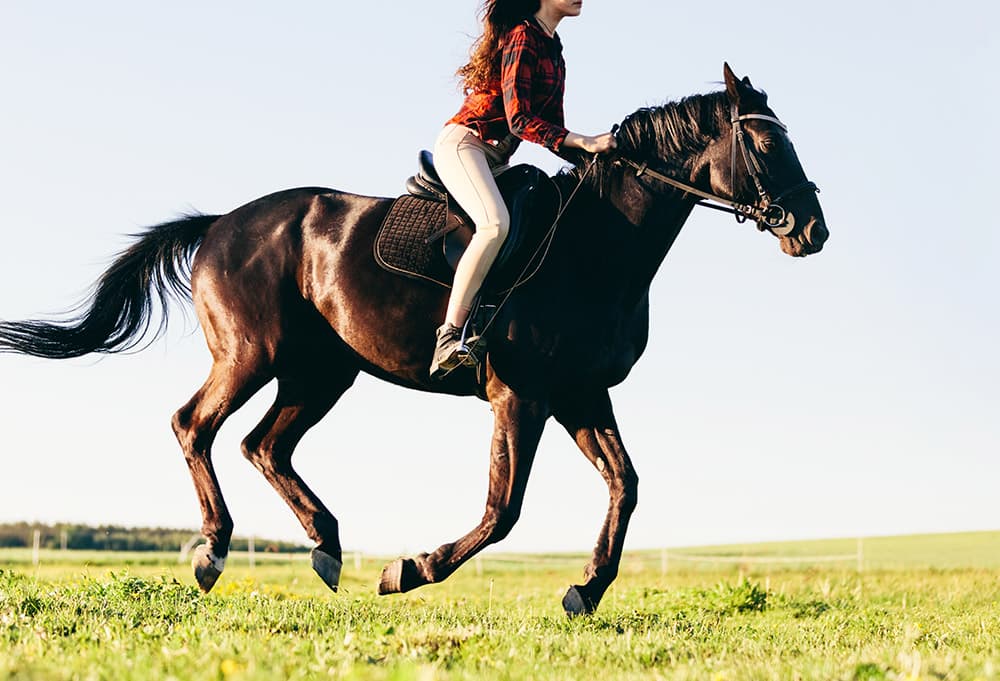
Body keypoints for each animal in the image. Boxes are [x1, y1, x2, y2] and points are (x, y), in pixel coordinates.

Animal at [0, 65, 828, 616]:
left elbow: (624, 486)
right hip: (249, 354)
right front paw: (410, 568)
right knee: (194, 425)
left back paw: (326, 546)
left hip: (321, 372)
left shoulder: (579, 392)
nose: (813, 230)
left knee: (265, 445)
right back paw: (212, 551)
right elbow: (503, 508)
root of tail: (221, 224)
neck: (598, 243)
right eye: (763, 145)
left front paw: (585, 589)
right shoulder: (521, 394)